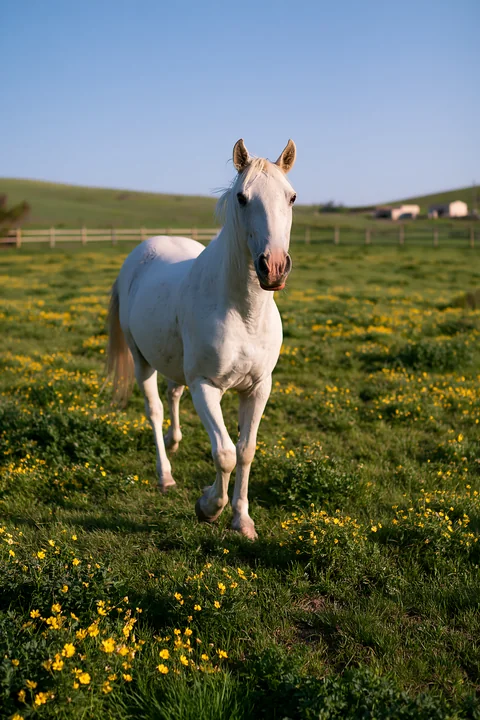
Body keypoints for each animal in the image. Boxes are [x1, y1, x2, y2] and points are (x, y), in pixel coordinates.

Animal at [106, 138, 297, 539]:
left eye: (291, 197)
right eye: (242, 197)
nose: (273, 267)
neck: (243, 313)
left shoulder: (258, 387)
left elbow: (245, 450)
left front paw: (242, 520)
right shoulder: (206, 386)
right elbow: (224, 453)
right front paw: (208, 507)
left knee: (172, 395)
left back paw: (175, 441)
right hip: (140, 359)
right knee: (154, 408)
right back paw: (165, 475)